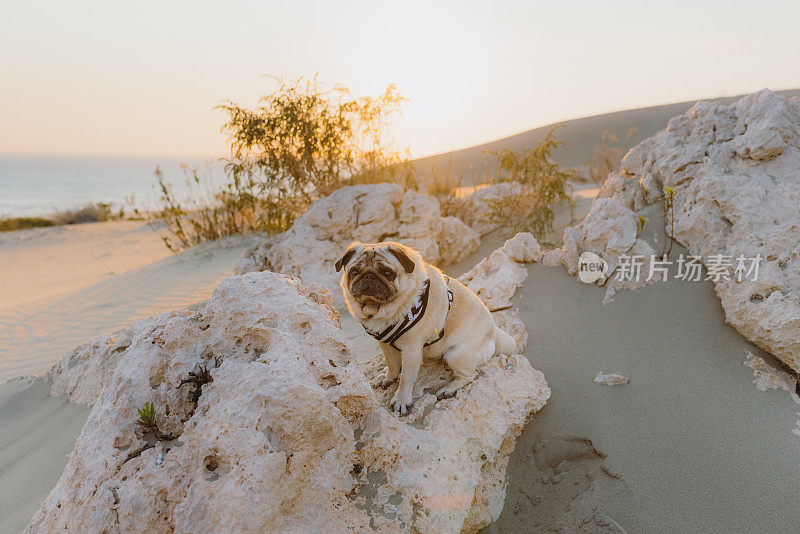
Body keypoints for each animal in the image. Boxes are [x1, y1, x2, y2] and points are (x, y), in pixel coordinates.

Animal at [334, 242, 516, 414]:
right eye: (354, 272)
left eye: (387, 273)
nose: (369, 276)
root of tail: (493, 330)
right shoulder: (385, 344)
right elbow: (392, 365)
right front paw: (389, 377)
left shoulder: (412, 349)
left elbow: (406, 378)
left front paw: (401, 400)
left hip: (456, 355)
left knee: (469, 376)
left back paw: (448, 389)